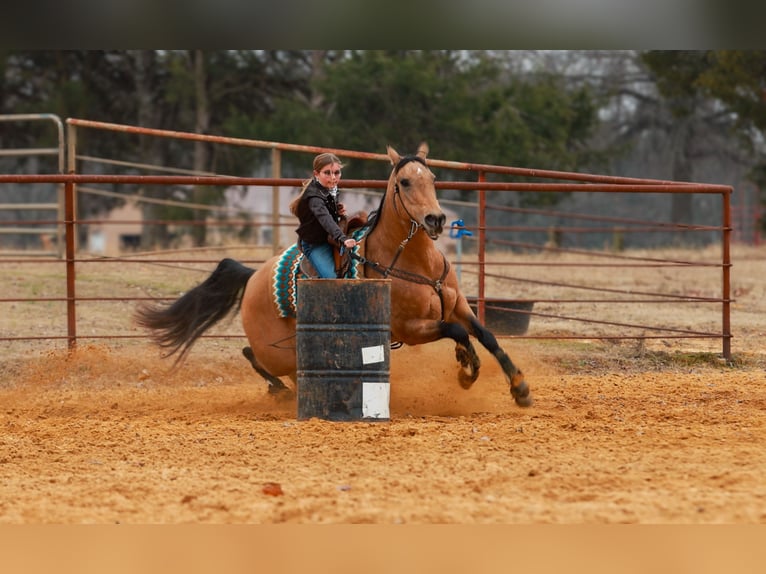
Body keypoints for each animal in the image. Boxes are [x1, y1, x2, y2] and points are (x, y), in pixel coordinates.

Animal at [135, 143, 532, 408]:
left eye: (432, 177)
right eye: (404, 182)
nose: (435, 219)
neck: (416, 263)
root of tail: (252, 276)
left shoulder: (459, 305)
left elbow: (485, 334)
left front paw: (519, 388)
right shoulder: (410, 328)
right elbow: (459, 333)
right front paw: (467, 370)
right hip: (276, 349)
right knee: (254, 355)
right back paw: (282, 391)